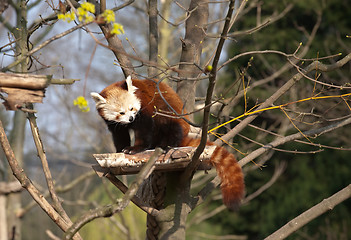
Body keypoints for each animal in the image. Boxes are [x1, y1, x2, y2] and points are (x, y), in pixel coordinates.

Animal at [91, 76, 245, 209]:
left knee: (171, 127)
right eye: (121, 113)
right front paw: (119, 150)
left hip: (172, 117)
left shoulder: (146, 107)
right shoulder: (114, 124)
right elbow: (119, 134)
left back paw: (166, 145)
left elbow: (144, 129)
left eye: (131, 108)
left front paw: (135, 148)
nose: (130, 119)